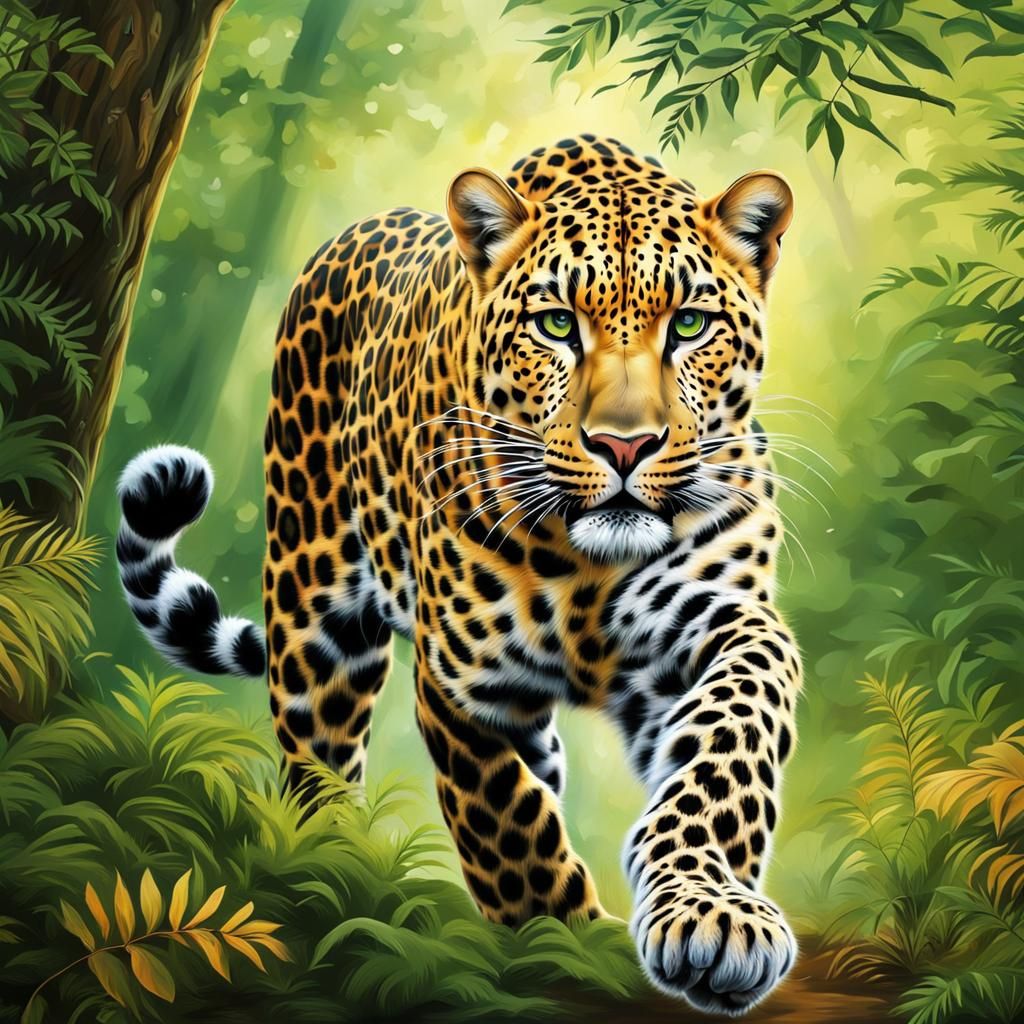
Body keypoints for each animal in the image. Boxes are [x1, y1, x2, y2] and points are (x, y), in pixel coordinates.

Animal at [116, 133, 801, 1015]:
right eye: (556, 324)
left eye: (689, 324)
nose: (623, 445)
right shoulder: (462, 682)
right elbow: (510, 824)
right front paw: (570, 945)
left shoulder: (721, 620)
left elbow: (726, 742)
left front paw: (713, 914)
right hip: (315, 623)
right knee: (317, 767)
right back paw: (329, 875)